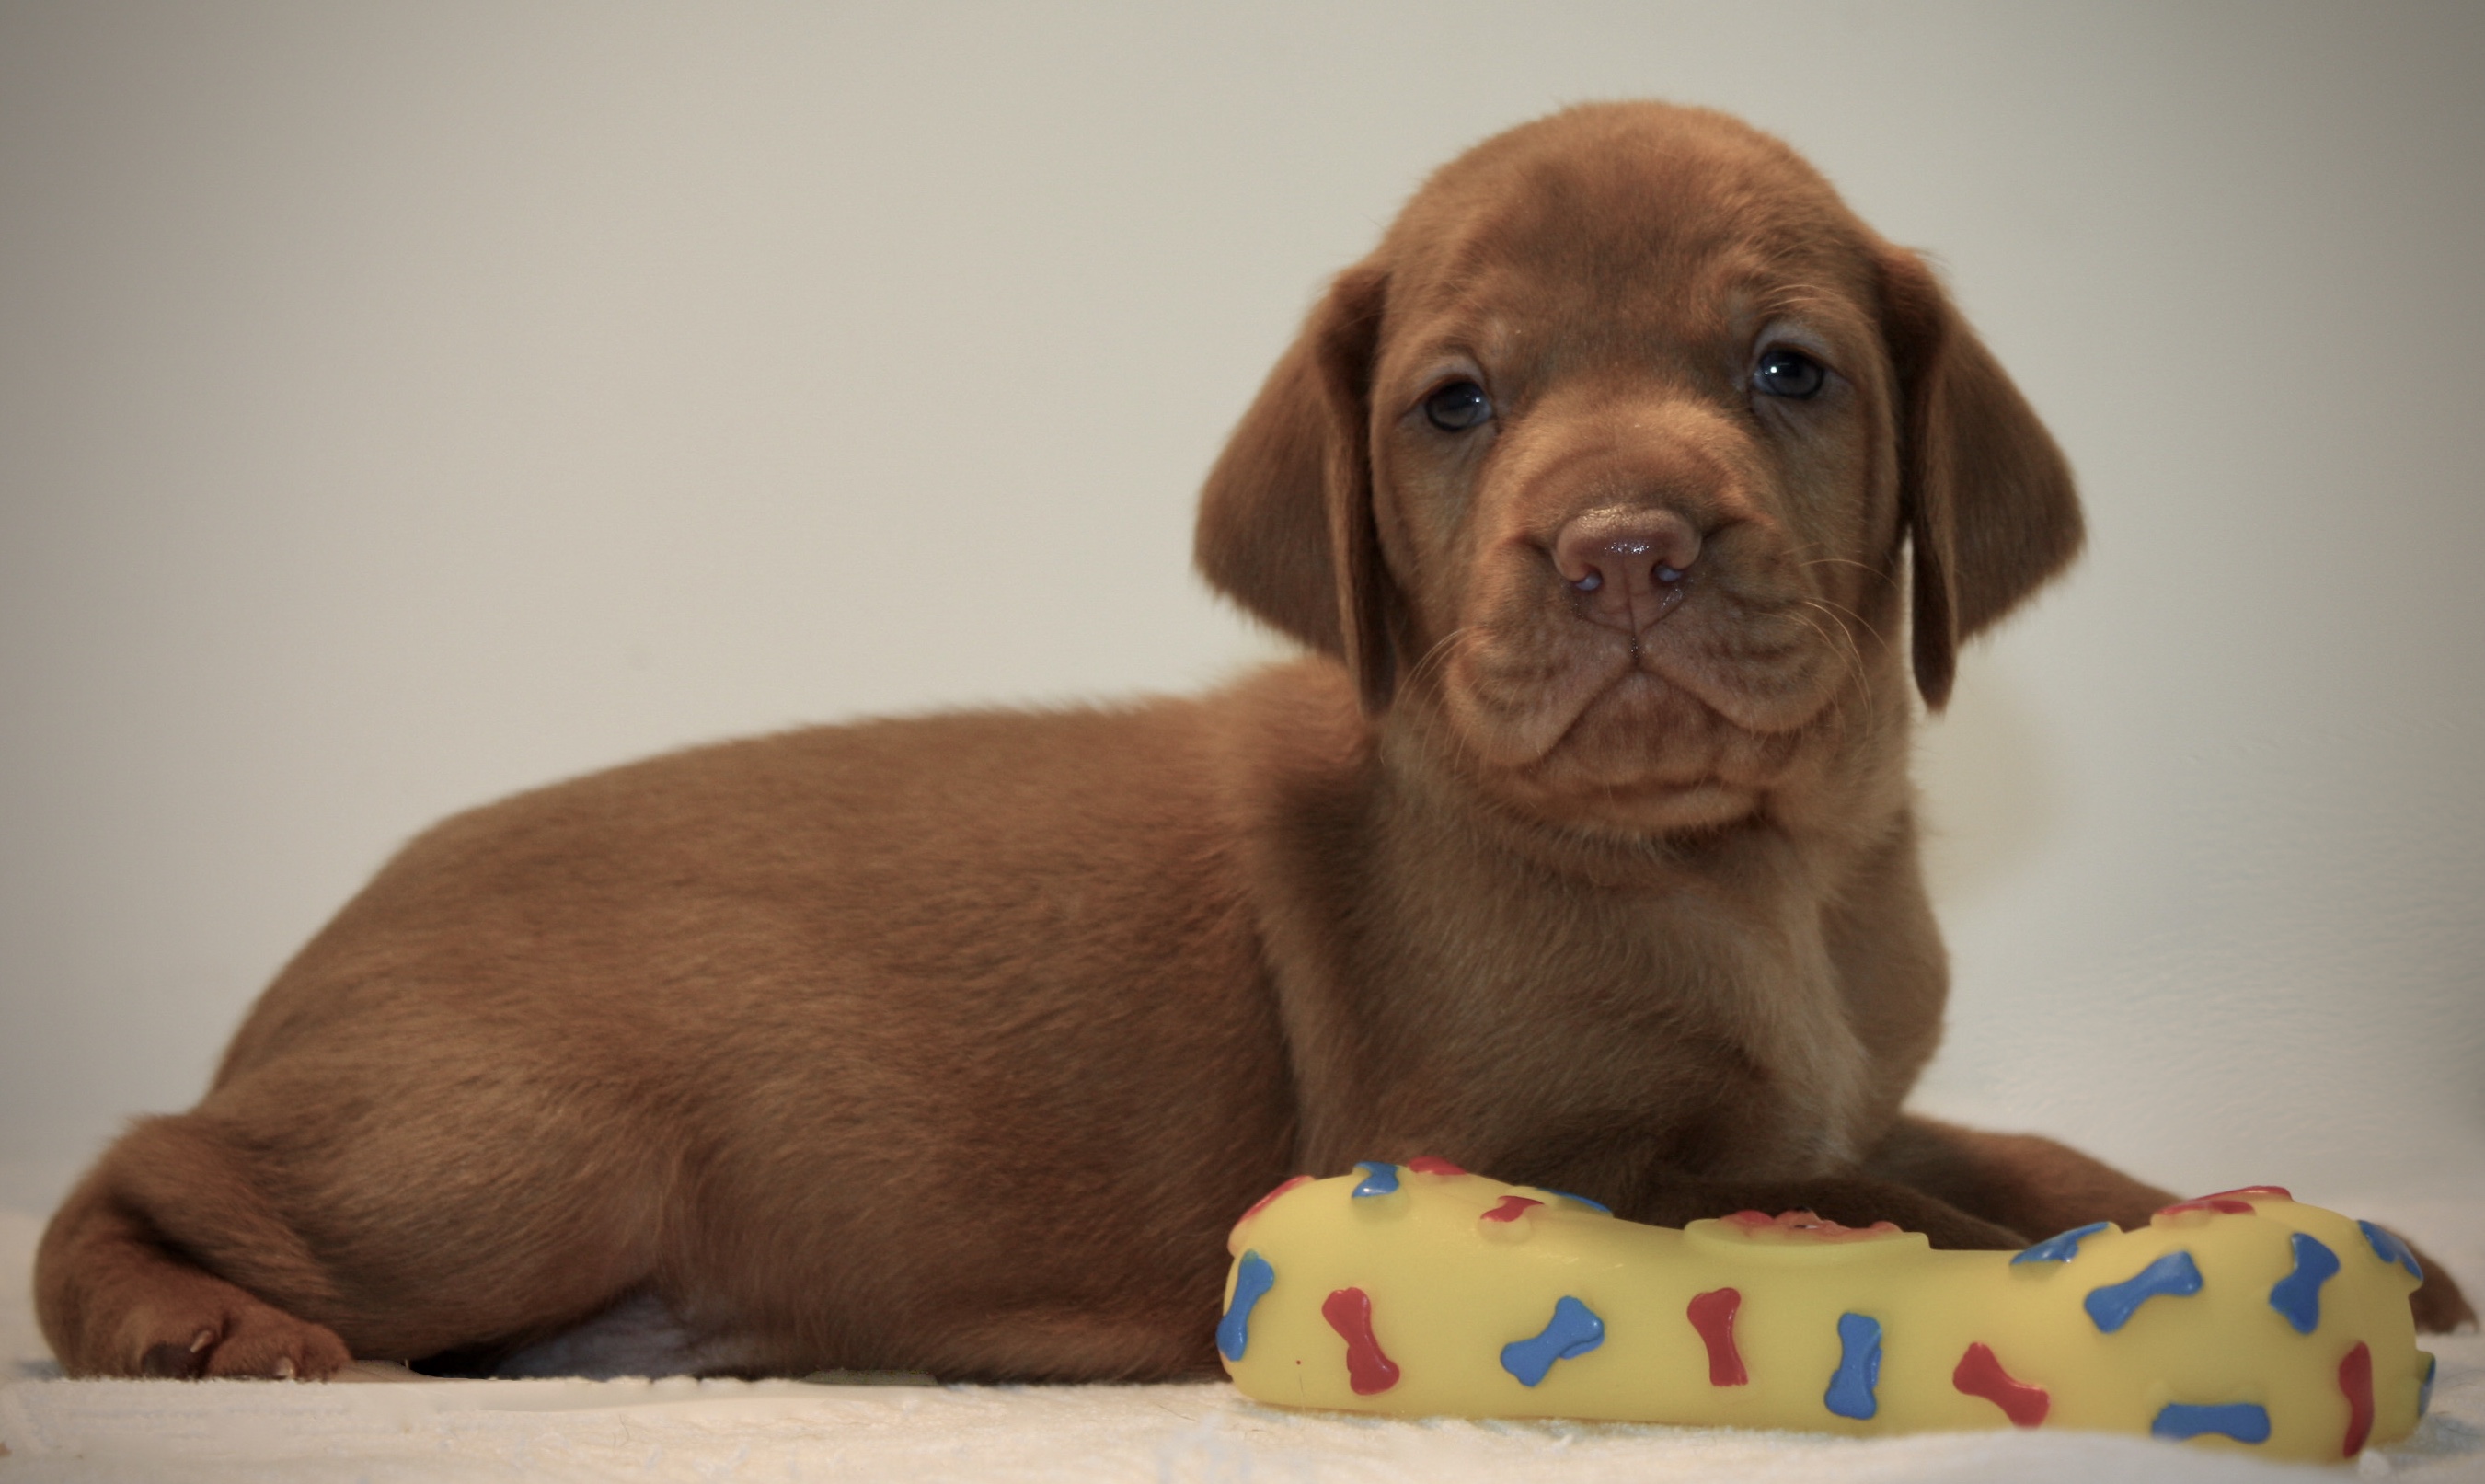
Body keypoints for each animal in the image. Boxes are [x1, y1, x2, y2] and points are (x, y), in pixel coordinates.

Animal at [33, 101, 2465, 1382]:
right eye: (1455, 402)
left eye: (1785, 368)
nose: (1619, 550)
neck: (1744, 870)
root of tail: (308, 967)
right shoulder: (1529, 1142)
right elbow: (1883, 1194)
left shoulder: (1833, 1077)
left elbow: (2001, 1145)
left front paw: (2312, 1229)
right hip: (514, 1156)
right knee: (136, 1169)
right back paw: (195, 1328)